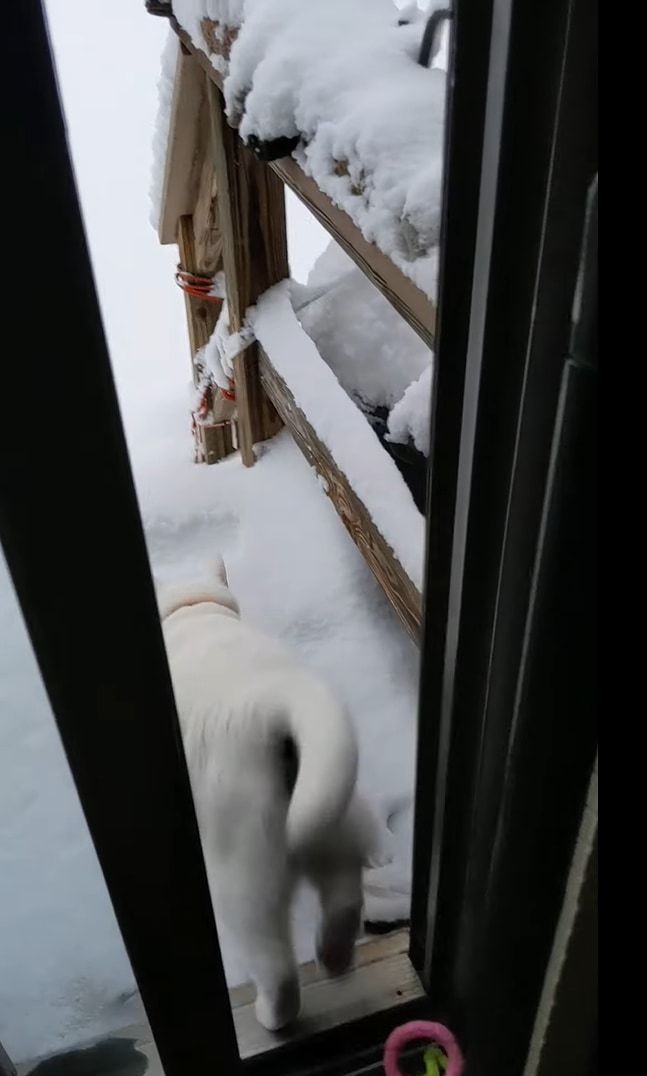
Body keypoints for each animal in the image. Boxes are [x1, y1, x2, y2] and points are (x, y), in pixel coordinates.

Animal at [156, 559, 383, 1028]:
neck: (195, 611)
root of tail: (274, 703)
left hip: (242, 874)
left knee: (274, 964)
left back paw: (272, 1015)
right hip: (331, 800)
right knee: (343, 894)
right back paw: (333, 958)